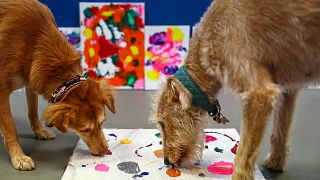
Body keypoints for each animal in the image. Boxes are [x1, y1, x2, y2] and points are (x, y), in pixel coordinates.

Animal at [0, 0, 115, 171]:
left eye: (102, 123)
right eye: (85, 130)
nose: (104, 151)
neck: (35, 41)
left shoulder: (31, 78)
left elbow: (32, 111)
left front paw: (39, 131)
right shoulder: (2, 91)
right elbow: (10, 129)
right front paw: (18, 156)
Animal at [151, 0, 320, 179]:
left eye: (162, 123)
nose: (166, 161)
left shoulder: (259, 93)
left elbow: (243, 154)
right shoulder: (287, 87)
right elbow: (280, 129)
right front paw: (276, 161)